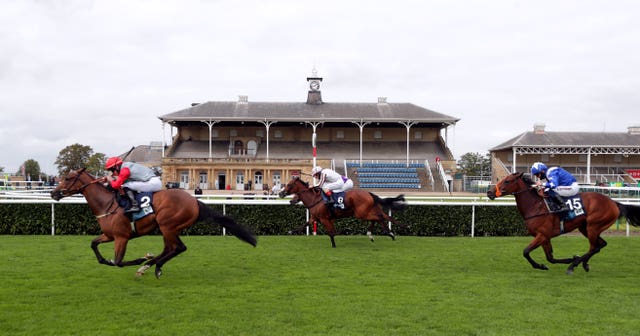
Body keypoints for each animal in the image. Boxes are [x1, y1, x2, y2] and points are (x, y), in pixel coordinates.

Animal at [50, 168, 256, 278]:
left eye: (67, 178)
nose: (53, 193)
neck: (106, 203)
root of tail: (194, 201)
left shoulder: (122, 237)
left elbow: (118, 262)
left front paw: (139, 259)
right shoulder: (109, 235)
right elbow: (94, 245)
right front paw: (107, 260)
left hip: (167, 225)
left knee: (179, 248)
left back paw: (151, 265)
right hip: (168, 228)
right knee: (170, 248)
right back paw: (150, 264)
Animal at [278, 177, 408, 248]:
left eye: (289, 184)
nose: (280, 193)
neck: (315, 199)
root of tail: (369, 193)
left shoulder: (324, 219)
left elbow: (331, 233)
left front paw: (334, 245)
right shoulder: (316, 218)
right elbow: (304, 224)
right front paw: (290, 231)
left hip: (361, 213)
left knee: (379, 217)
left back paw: (389, 233)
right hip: (366, 211)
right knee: (378, 218)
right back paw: (374, 234)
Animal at [488, 172, 640, 274]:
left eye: (507, 181)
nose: (489, 192)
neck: (536, 206)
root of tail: (614, 203)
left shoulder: (542, 235)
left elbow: (526, 251)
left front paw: (567, 261)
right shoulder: (545, 237)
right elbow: (550, 258)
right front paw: (550, 264)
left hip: (593, 226)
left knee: (594, 247)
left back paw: (574, 265)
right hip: (585, 228)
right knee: (600, 245)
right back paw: (583, 263)